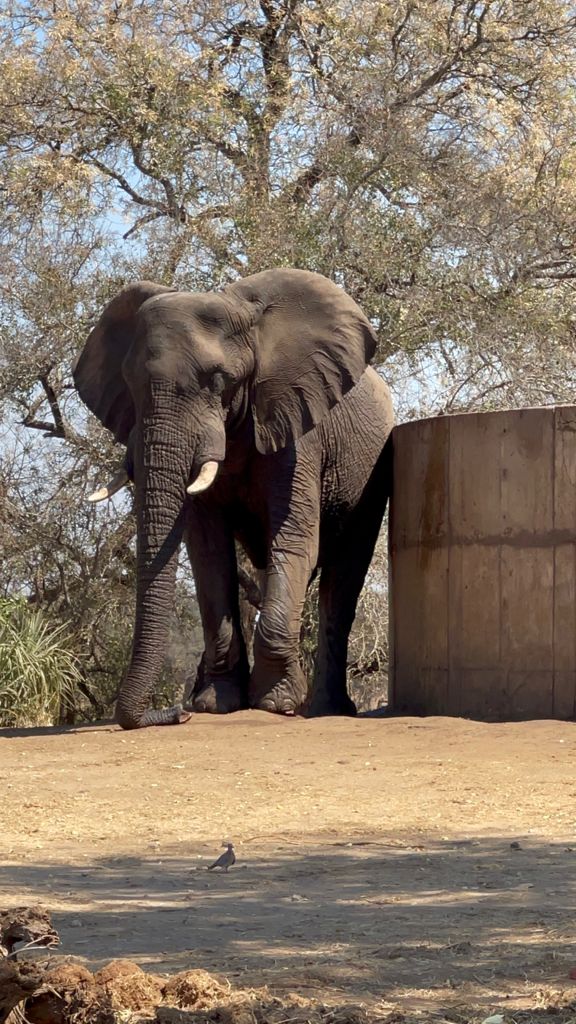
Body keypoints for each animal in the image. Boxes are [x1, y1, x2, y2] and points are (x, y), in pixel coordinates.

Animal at [73, 268, 394, 729]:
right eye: (129, 382)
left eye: (218, 381)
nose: (176, 713)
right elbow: (209, 553)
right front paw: (214, 703)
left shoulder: (297, 428)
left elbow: (295, 539)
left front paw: (277, 704)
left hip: (371, 471)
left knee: (342, 576)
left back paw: (325, 709)